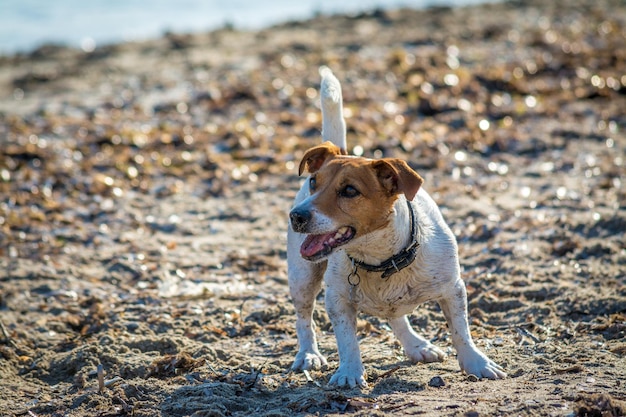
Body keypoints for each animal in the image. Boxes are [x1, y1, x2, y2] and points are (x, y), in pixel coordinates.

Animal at [286, 66, 504, 388]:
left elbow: (460, 331)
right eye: (314, 182)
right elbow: (347, 341)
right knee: (304, 317)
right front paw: (349, 373)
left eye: (349, 191)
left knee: (396, 315)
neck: (380, 259)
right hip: (302, 277)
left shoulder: (453, 289)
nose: (296, 216)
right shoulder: (337, 301)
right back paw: (308, 354)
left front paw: (476, 362)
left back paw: (416, 345)